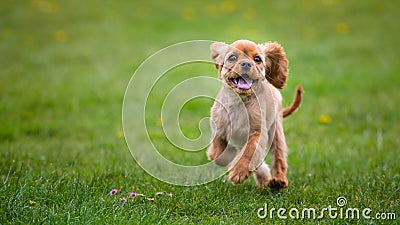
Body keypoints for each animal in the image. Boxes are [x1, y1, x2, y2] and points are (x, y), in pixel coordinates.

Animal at [208, 39, 302, 189]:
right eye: (232, 57)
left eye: (257, 59)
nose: (246, 64)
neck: (240, 101)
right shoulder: (218, 123)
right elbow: (218, 151)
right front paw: (226, 155)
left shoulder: (258, 132)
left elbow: (250, 151)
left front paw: (238, 172)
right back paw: (264, 179)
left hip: (276, 132)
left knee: (279, 159)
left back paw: (278, 181)